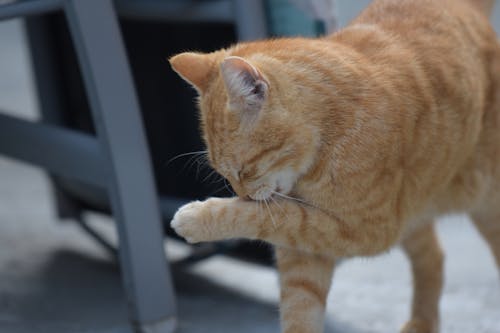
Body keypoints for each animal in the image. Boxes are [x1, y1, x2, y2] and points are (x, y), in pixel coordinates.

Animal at [169, 1, 500, 330]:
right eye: (225, 175)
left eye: (243, 170)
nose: (244, 195)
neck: (332, 127)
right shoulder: (303, 254)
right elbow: (299, 310)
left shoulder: (364, 229)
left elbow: (263, 217)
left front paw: (196, 218)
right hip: (414, 210)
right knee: (433, 256)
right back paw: (420, 323)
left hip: (483, 209)